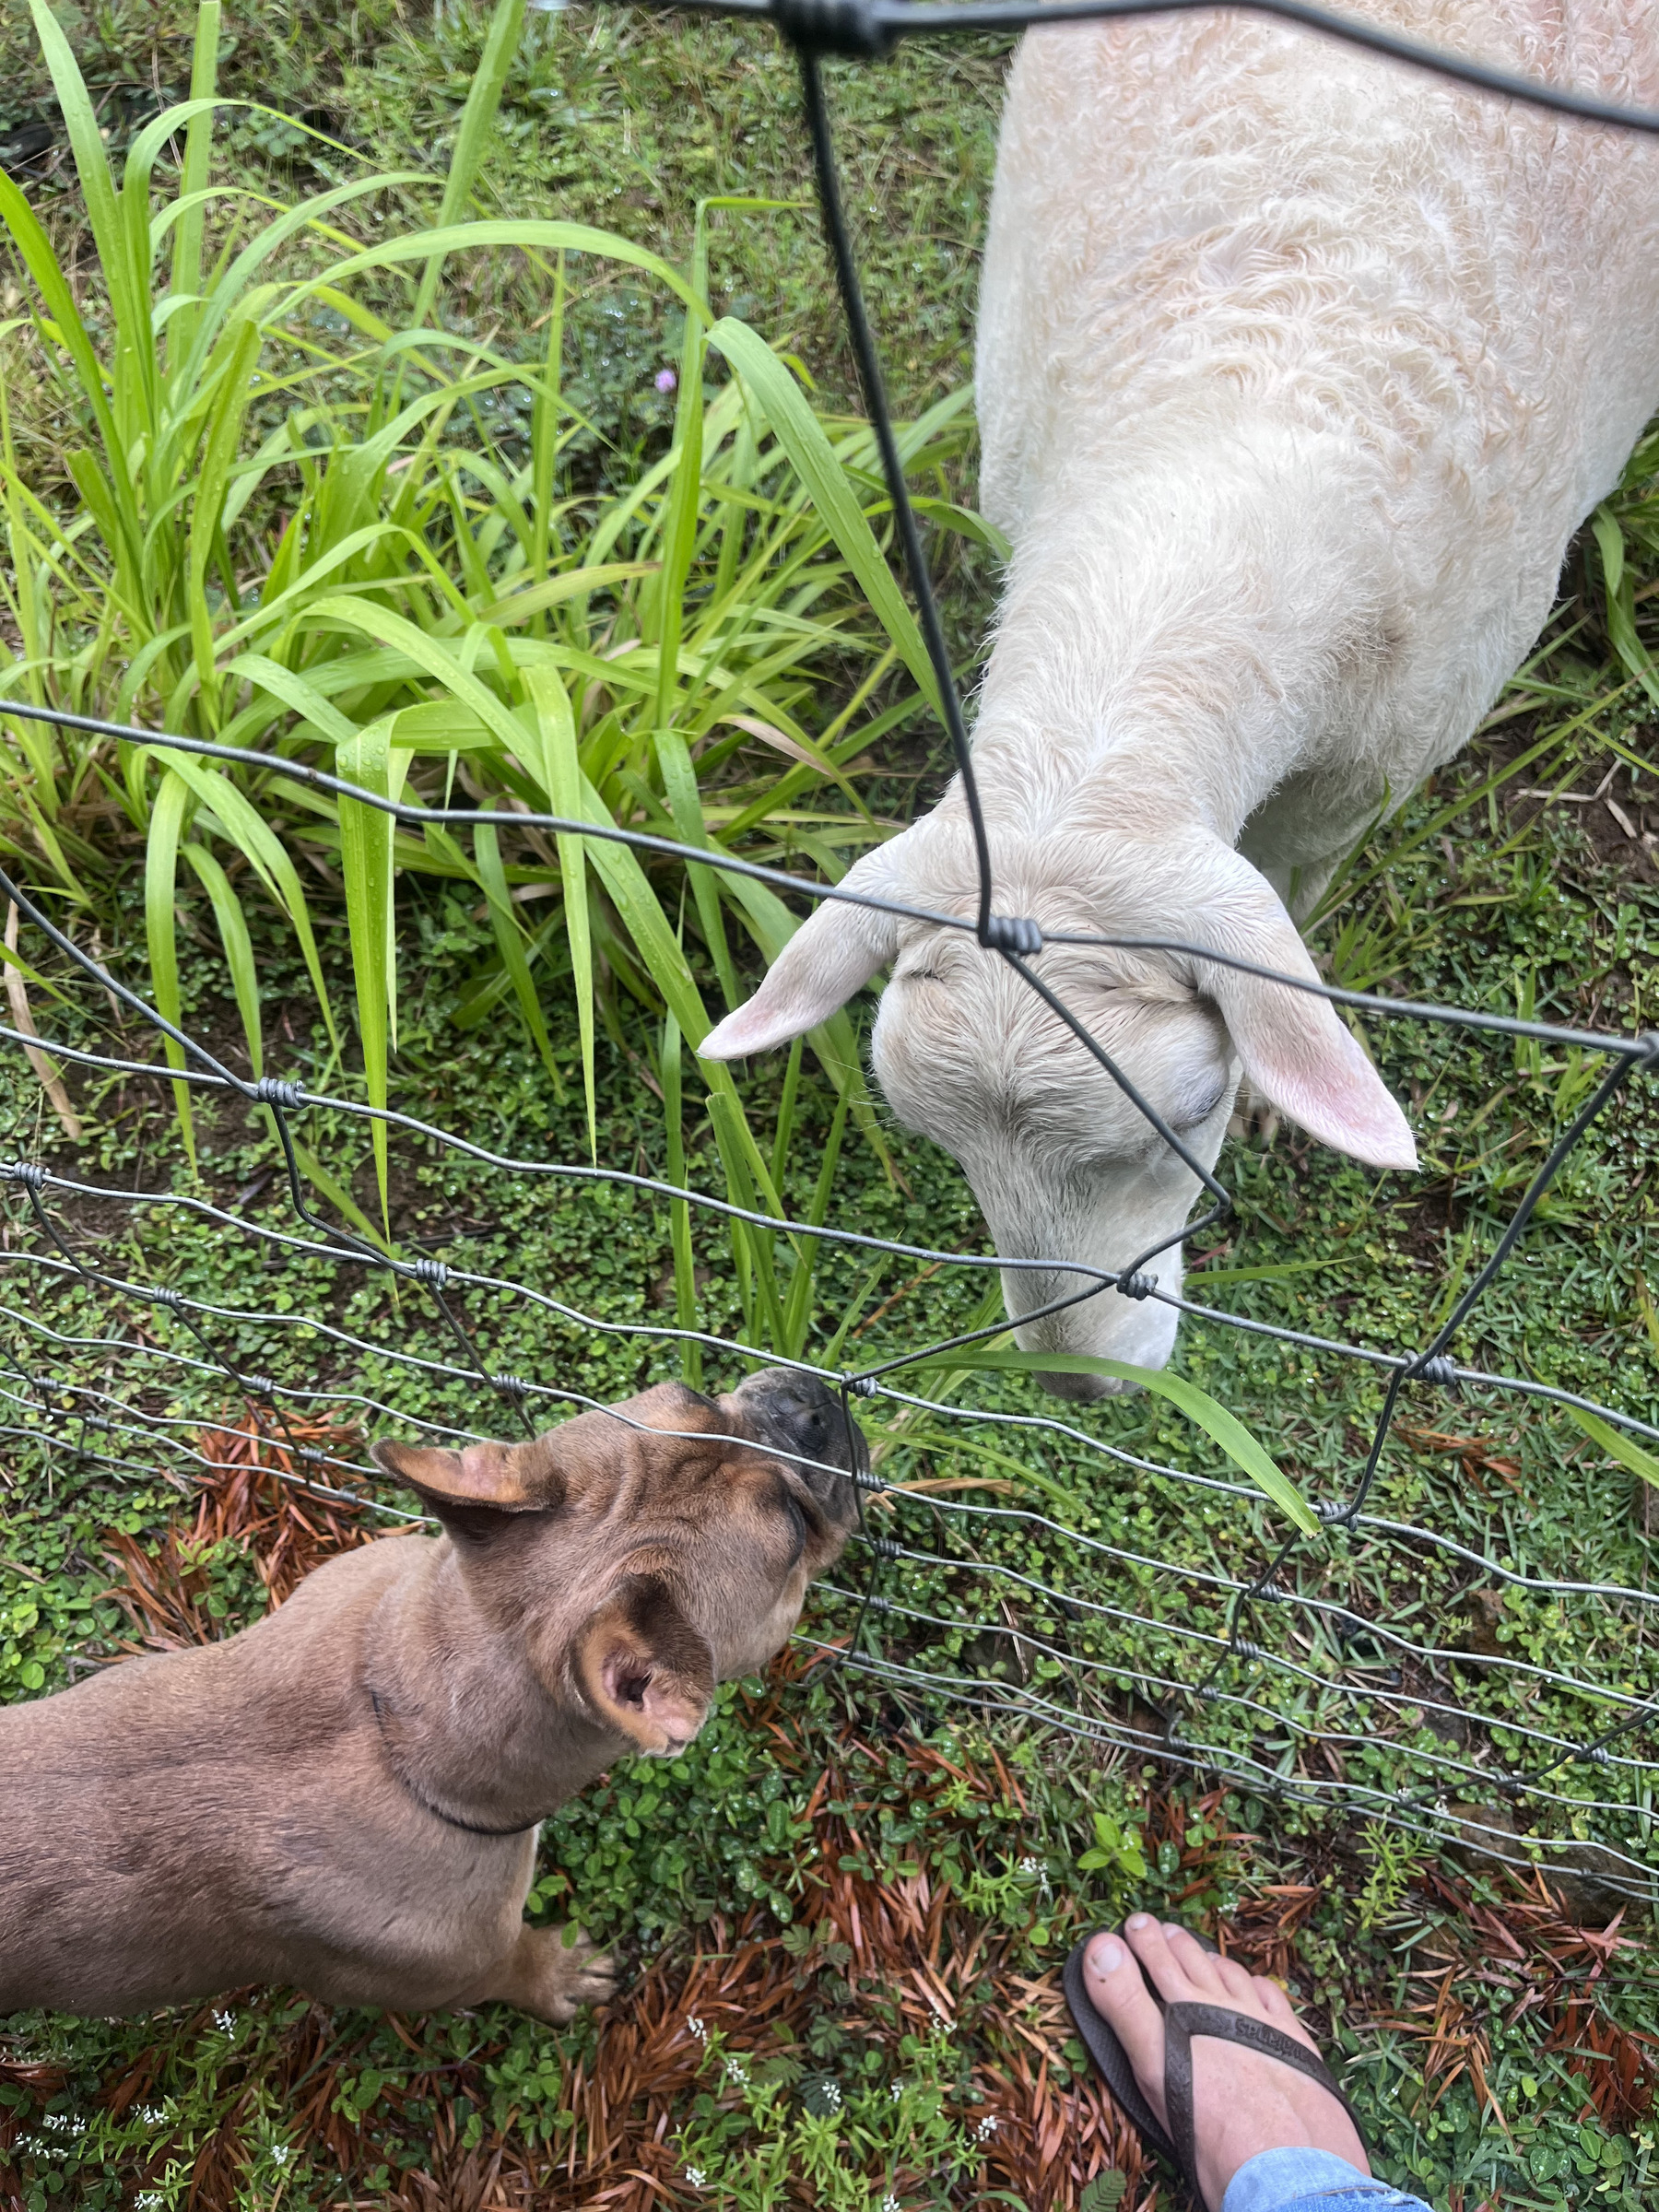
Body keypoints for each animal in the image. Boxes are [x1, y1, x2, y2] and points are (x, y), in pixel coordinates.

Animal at [0, 1371, 858, 2026]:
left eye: (692, 1392)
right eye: (792, 1527)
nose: (812, 1405)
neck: (398, 1716)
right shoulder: (456, 1968)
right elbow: (515, 1968)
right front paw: (558, 1974)